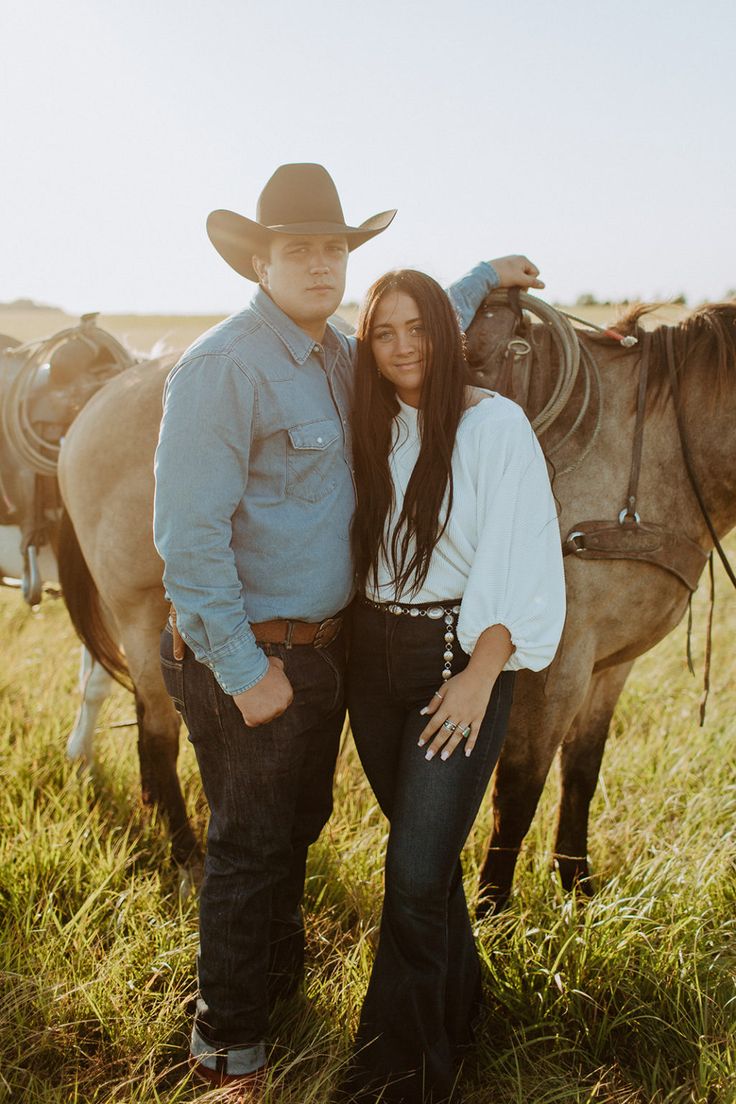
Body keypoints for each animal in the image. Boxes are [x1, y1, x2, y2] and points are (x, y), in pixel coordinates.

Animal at [57, 302, 736, 896]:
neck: (650, 452)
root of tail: (99, 400)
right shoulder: (558, 661)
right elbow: (518, 791)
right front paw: (496, 912)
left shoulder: (612, 665)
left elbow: (582, 774)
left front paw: (579, 892)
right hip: (140, 614)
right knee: (158, 733)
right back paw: (185, 856)